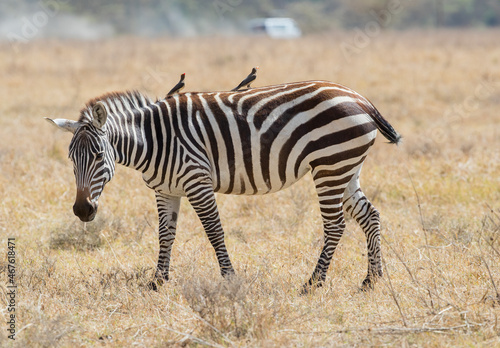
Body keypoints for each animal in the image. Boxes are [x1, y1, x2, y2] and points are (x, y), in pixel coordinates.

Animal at [45, 80, 400, 292]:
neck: (153, 139)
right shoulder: (165, 190)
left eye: (97, 155)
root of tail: (360, 97)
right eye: (70, 158)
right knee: (370, 215)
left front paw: (229, 279)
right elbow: (165, 235)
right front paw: (157, 282)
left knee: (336, 224)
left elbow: (214, 231)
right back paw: (372, 280)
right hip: (345, 168)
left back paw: (313, 283)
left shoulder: (196, 181)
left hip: (330, 165)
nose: (82, 210)